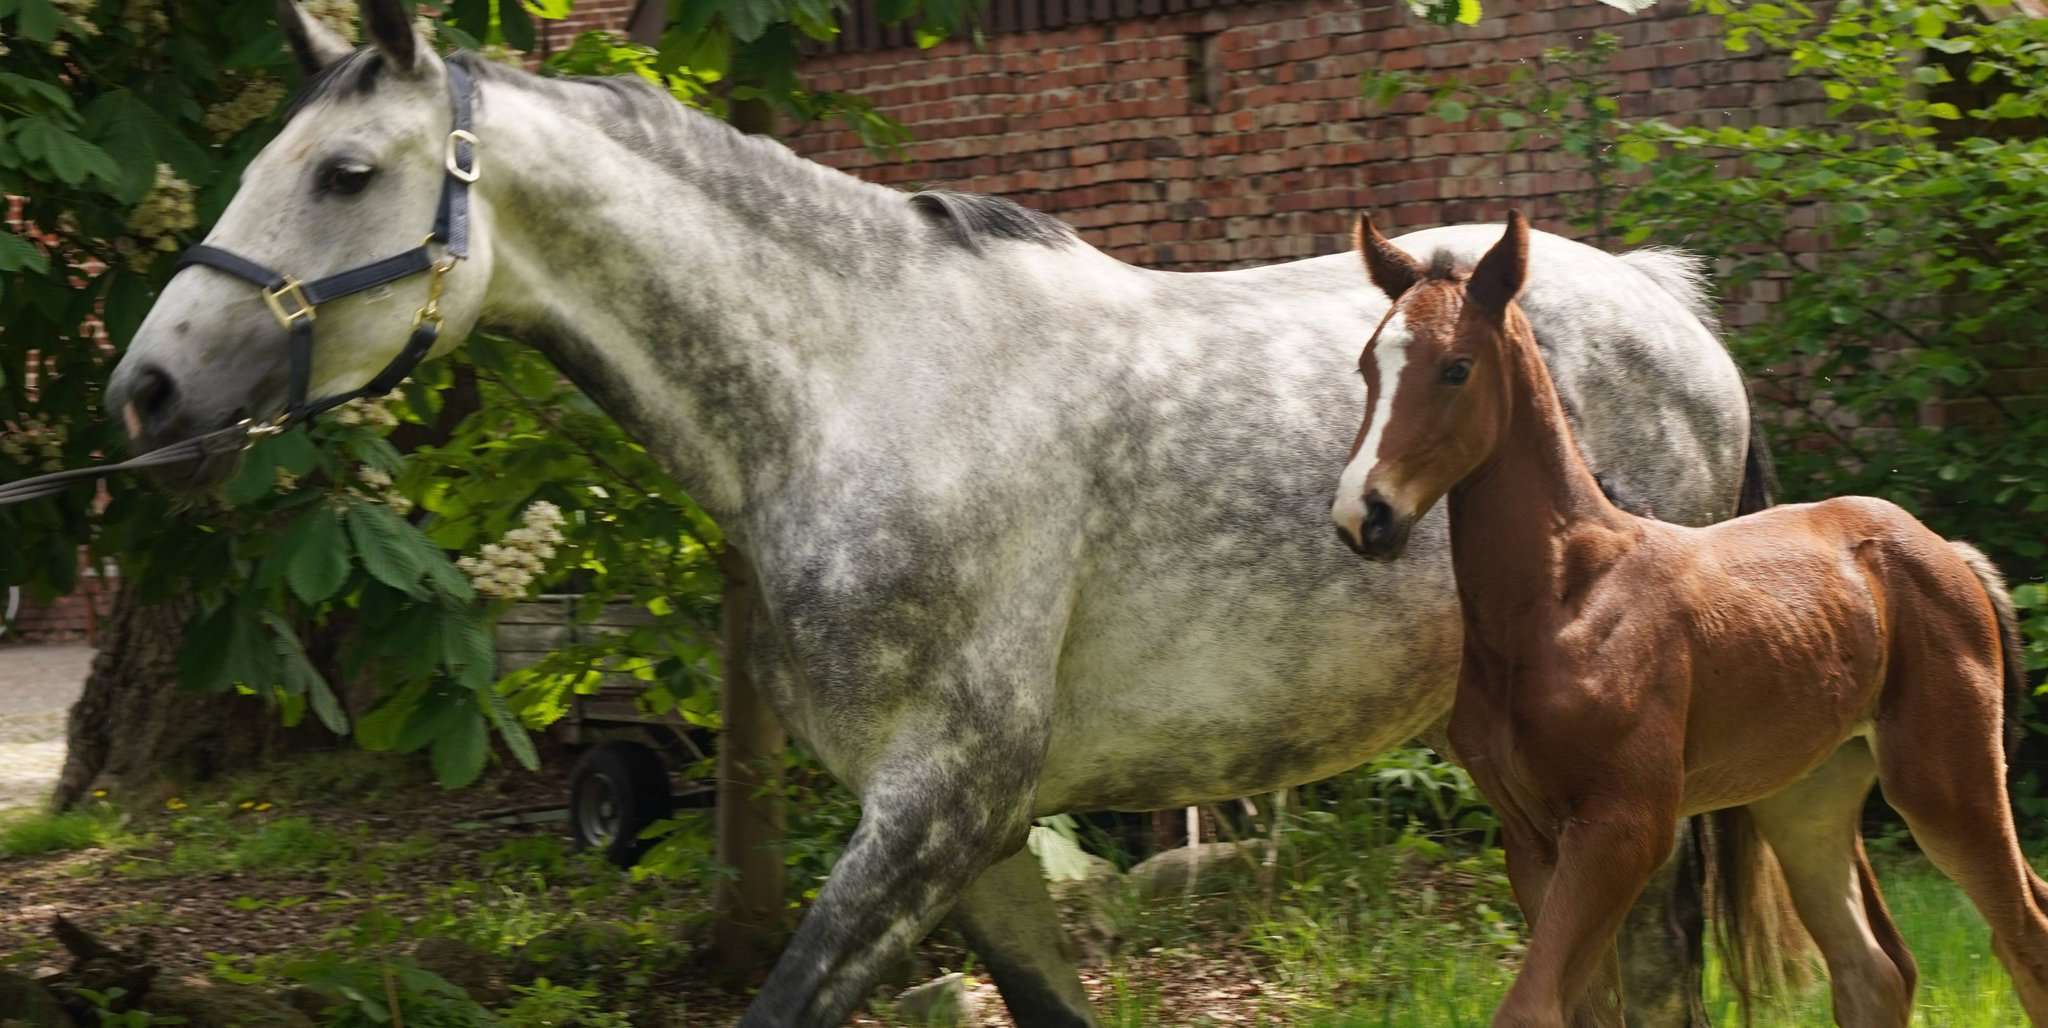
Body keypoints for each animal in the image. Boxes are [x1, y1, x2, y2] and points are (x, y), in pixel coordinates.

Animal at [112, 4, 1769, 1023]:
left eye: (345, 173)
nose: (146, 392)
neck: (861, 379)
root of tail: (1677, 313)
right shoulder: (974, 841)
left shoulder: (937, 807)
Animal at [1327, 212, 2048, 1023]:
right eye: (1368, 367)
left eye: (1456, 368)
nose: (1364, 514)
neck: (1562, 595)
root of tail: (1948, 552)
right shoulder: (1530, 837)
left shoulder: (1626, 824)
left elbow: (1531, 1004)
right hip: (1807, 796)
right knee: (1873, 970)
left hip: (1946, 779)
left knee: (2025, 933)